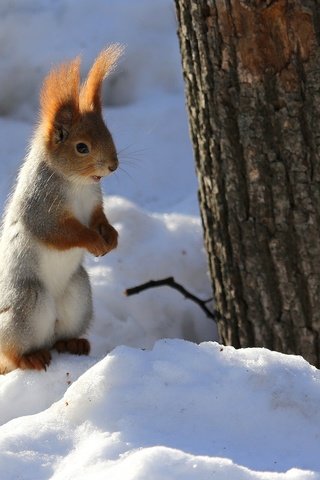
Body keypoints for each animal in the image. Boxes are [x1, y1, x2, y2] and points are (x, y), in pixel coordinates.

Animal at [0, 45, 122, 374]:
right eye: (81, 147)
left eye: (109, 133)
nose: (113, 166)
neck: (76, 183)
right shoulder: (40, 207)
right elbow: (61, 232)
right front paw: (94, 241)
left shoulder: (93, 202)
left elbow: (99, 218)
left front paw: (112, 236)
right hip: (26, 304)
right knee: (13, 352)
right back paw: (29, 358)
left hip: (78, 295)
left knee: (60, 336)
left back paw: (73, 343)